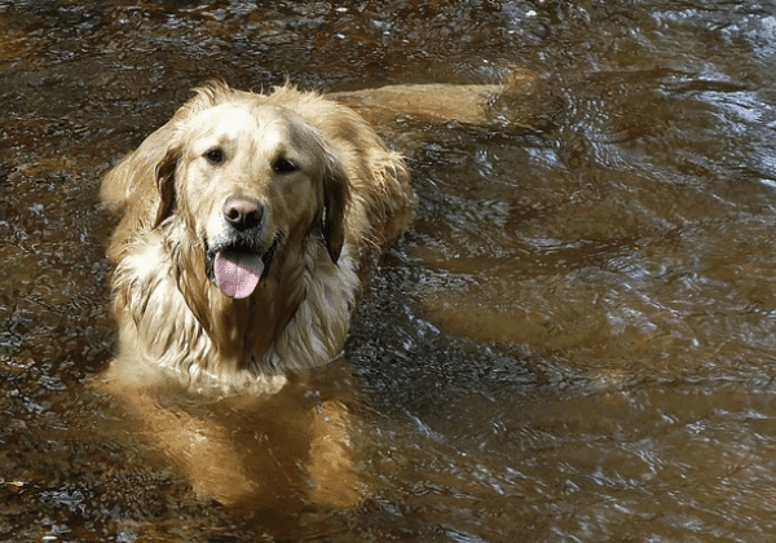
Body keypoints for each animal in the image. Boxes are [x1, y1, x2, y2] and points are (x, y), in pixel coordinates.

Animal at [99, 82, 416, 516]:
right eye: (214, 156)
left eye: (285, 165)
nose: (243, 214)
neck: (236, 324)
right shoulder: (135, 379)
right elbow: (193, 432)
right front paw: (232, 481)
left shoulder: (327, 374)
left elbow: (338, 428)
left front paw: (338, 483)